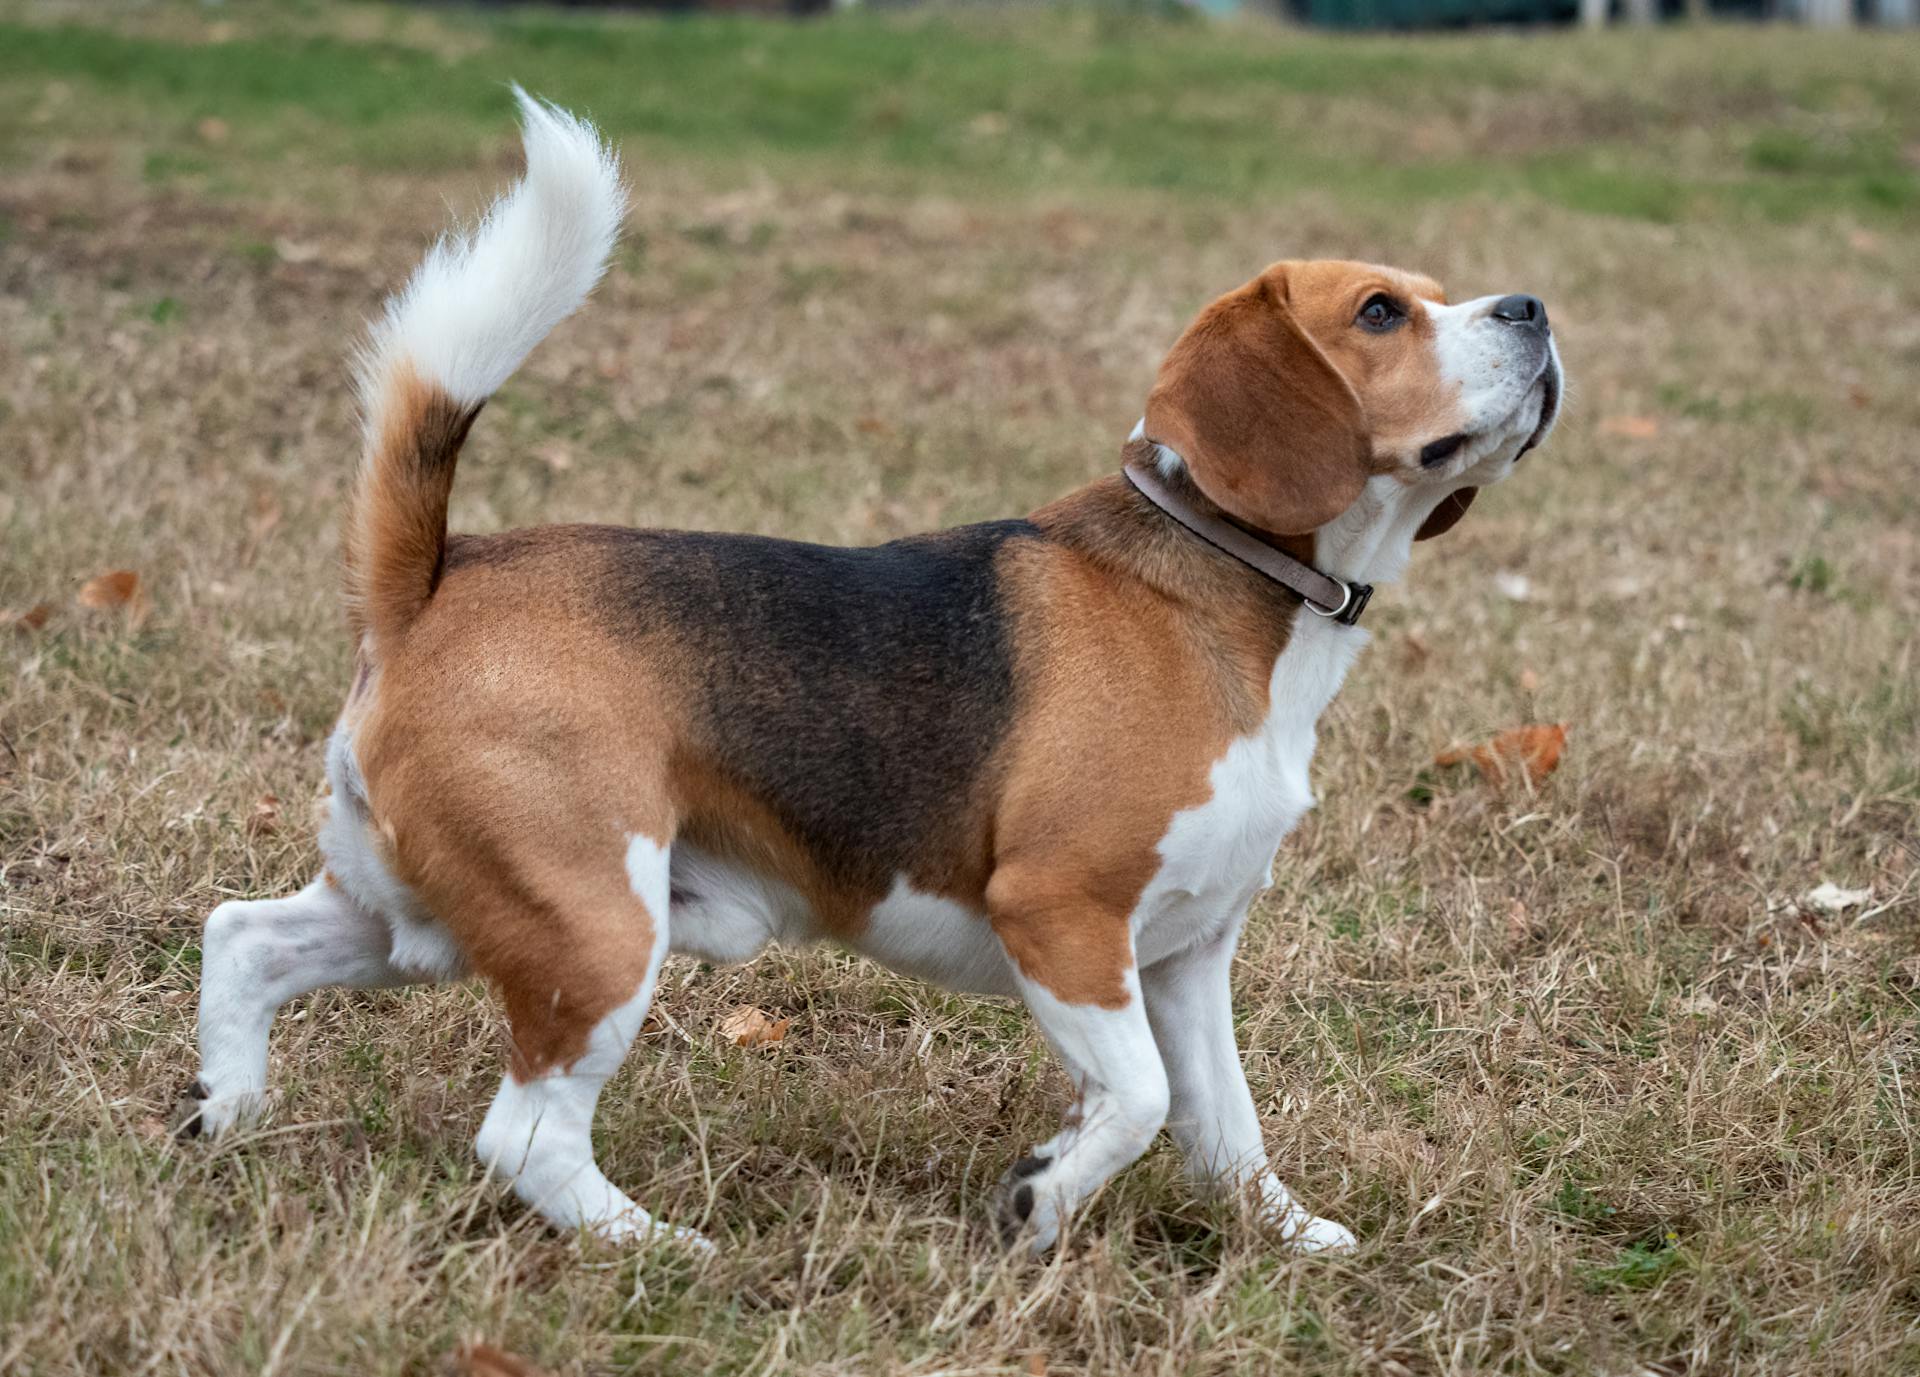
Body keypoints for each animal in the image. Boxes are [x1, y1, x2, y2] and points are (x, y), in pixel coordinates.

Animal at [180, 91, 1559, 1259]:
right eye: (1380, 313)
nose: (1534, 309)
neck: (1226, 584)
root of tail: (436, 577)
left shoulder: (1186, 955)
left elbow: (1223, 1122)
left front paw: (1287, 1236)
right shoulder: (1060, 914)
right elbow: (1139, 1100)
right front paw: (1043, 1197)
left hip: (423, 915)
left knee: (246, 939)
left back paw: (224, 1116)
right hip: (593, 921)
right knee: (520, 1132)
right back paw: (656, 1247)